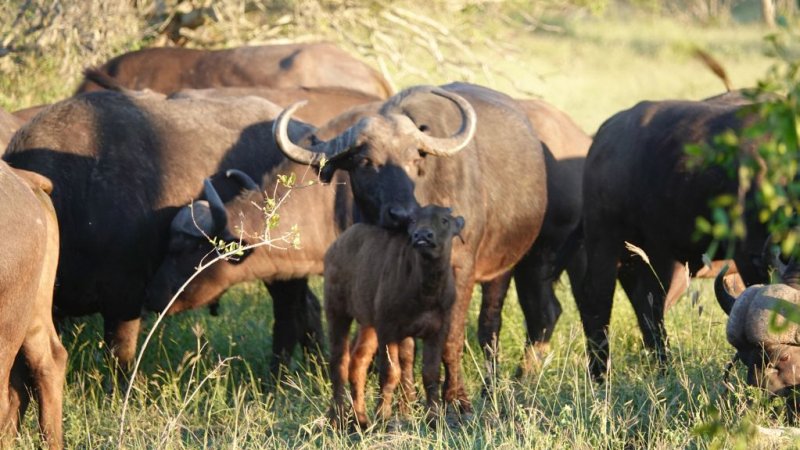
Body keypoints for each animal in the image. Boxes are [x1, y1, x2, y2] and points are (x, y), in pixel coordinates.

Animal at [324, 206, 466, 428]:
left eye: (444, 220)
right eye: (413, 221)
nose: (422, 236)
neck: (425, 291)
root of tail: (335, 247)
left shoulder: (438, 330)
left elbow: (431, 374)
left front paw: (434, 417)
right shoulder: (388, 328)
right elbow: (391, 372)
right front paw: (383, 415)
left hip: (368, 323)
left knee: (358, 361)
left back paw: (360, 418)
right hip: (336, 310)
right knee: (339, 362)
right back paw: (336, 417)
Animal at [572, 97, 764, 380]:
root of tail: (607, 131)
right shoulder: (749, 255)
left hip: (654, 252)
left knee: (648, 301)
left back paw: (663, 367)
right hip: (605, 234)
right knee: (598, 295)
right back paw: (599, 373)